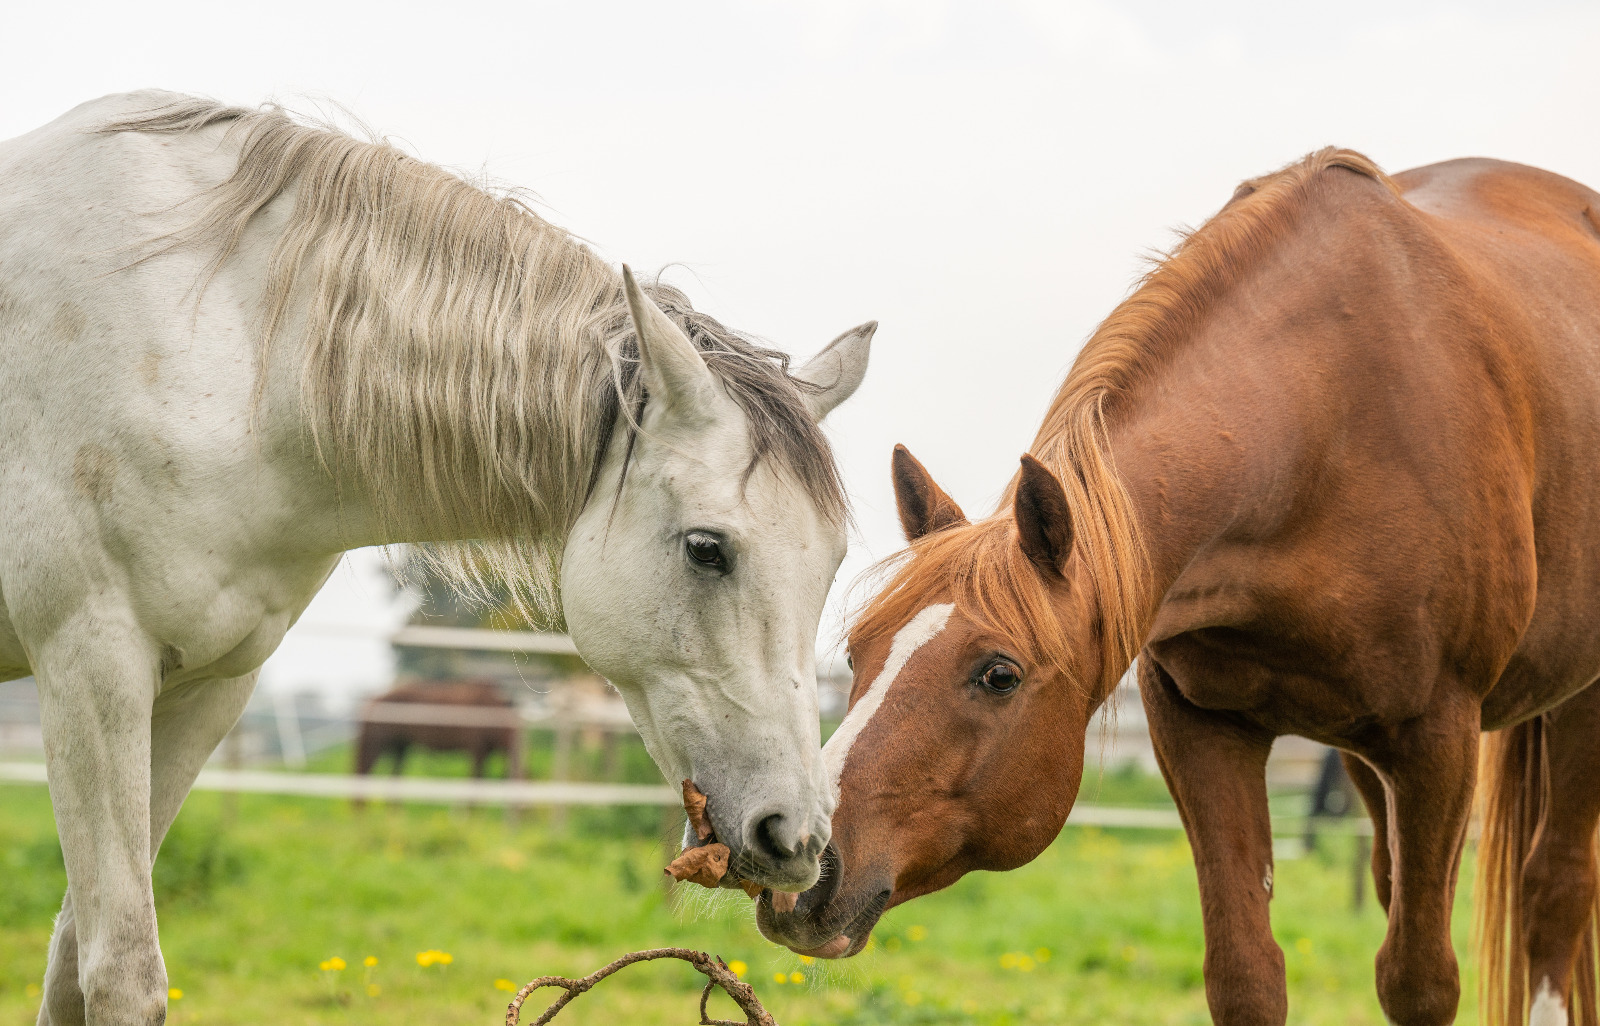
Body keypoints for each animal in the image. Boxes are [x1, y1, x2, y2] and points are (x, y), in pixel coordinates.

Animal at [0, 92, 876, 1017]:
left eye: (828, 563)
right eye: (707, 550)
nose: (798, 840)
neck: (212, 346)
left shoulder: (206, 688)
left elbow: (70, 960)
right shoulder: (92, 669)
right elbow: (122, 972)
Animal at [755, 150, 1600, 1024]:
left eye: (999, 675)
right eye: (857, 654)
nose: (803, 870)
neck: (1322, 431)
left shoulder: (1439, 739)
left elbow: (1421, 983)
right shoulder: (1204, 729)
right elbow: (1246, 975)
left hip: (1571, 713)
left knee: (1553, 896)